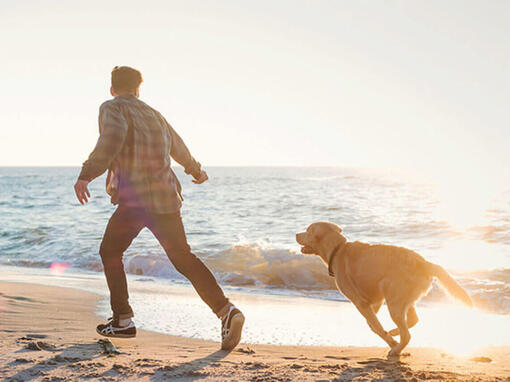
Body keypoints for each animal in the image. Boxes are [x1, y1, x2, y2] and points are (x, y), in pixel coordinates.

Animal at [296, 222, 472, 356]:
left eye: (307, 230)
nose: (296, 234)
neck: (337, 249)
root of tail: (424, 263)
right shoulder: (375, 300)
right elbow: (372, 324)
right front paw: (390, 336)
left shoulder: (360, 302)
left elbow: (376, 326)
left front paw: (391, 341)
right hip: (402, 298)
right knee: (413, 320)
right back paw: (395, 333)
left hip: (393, 298)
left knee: (407, 334)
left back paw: (396, 348)